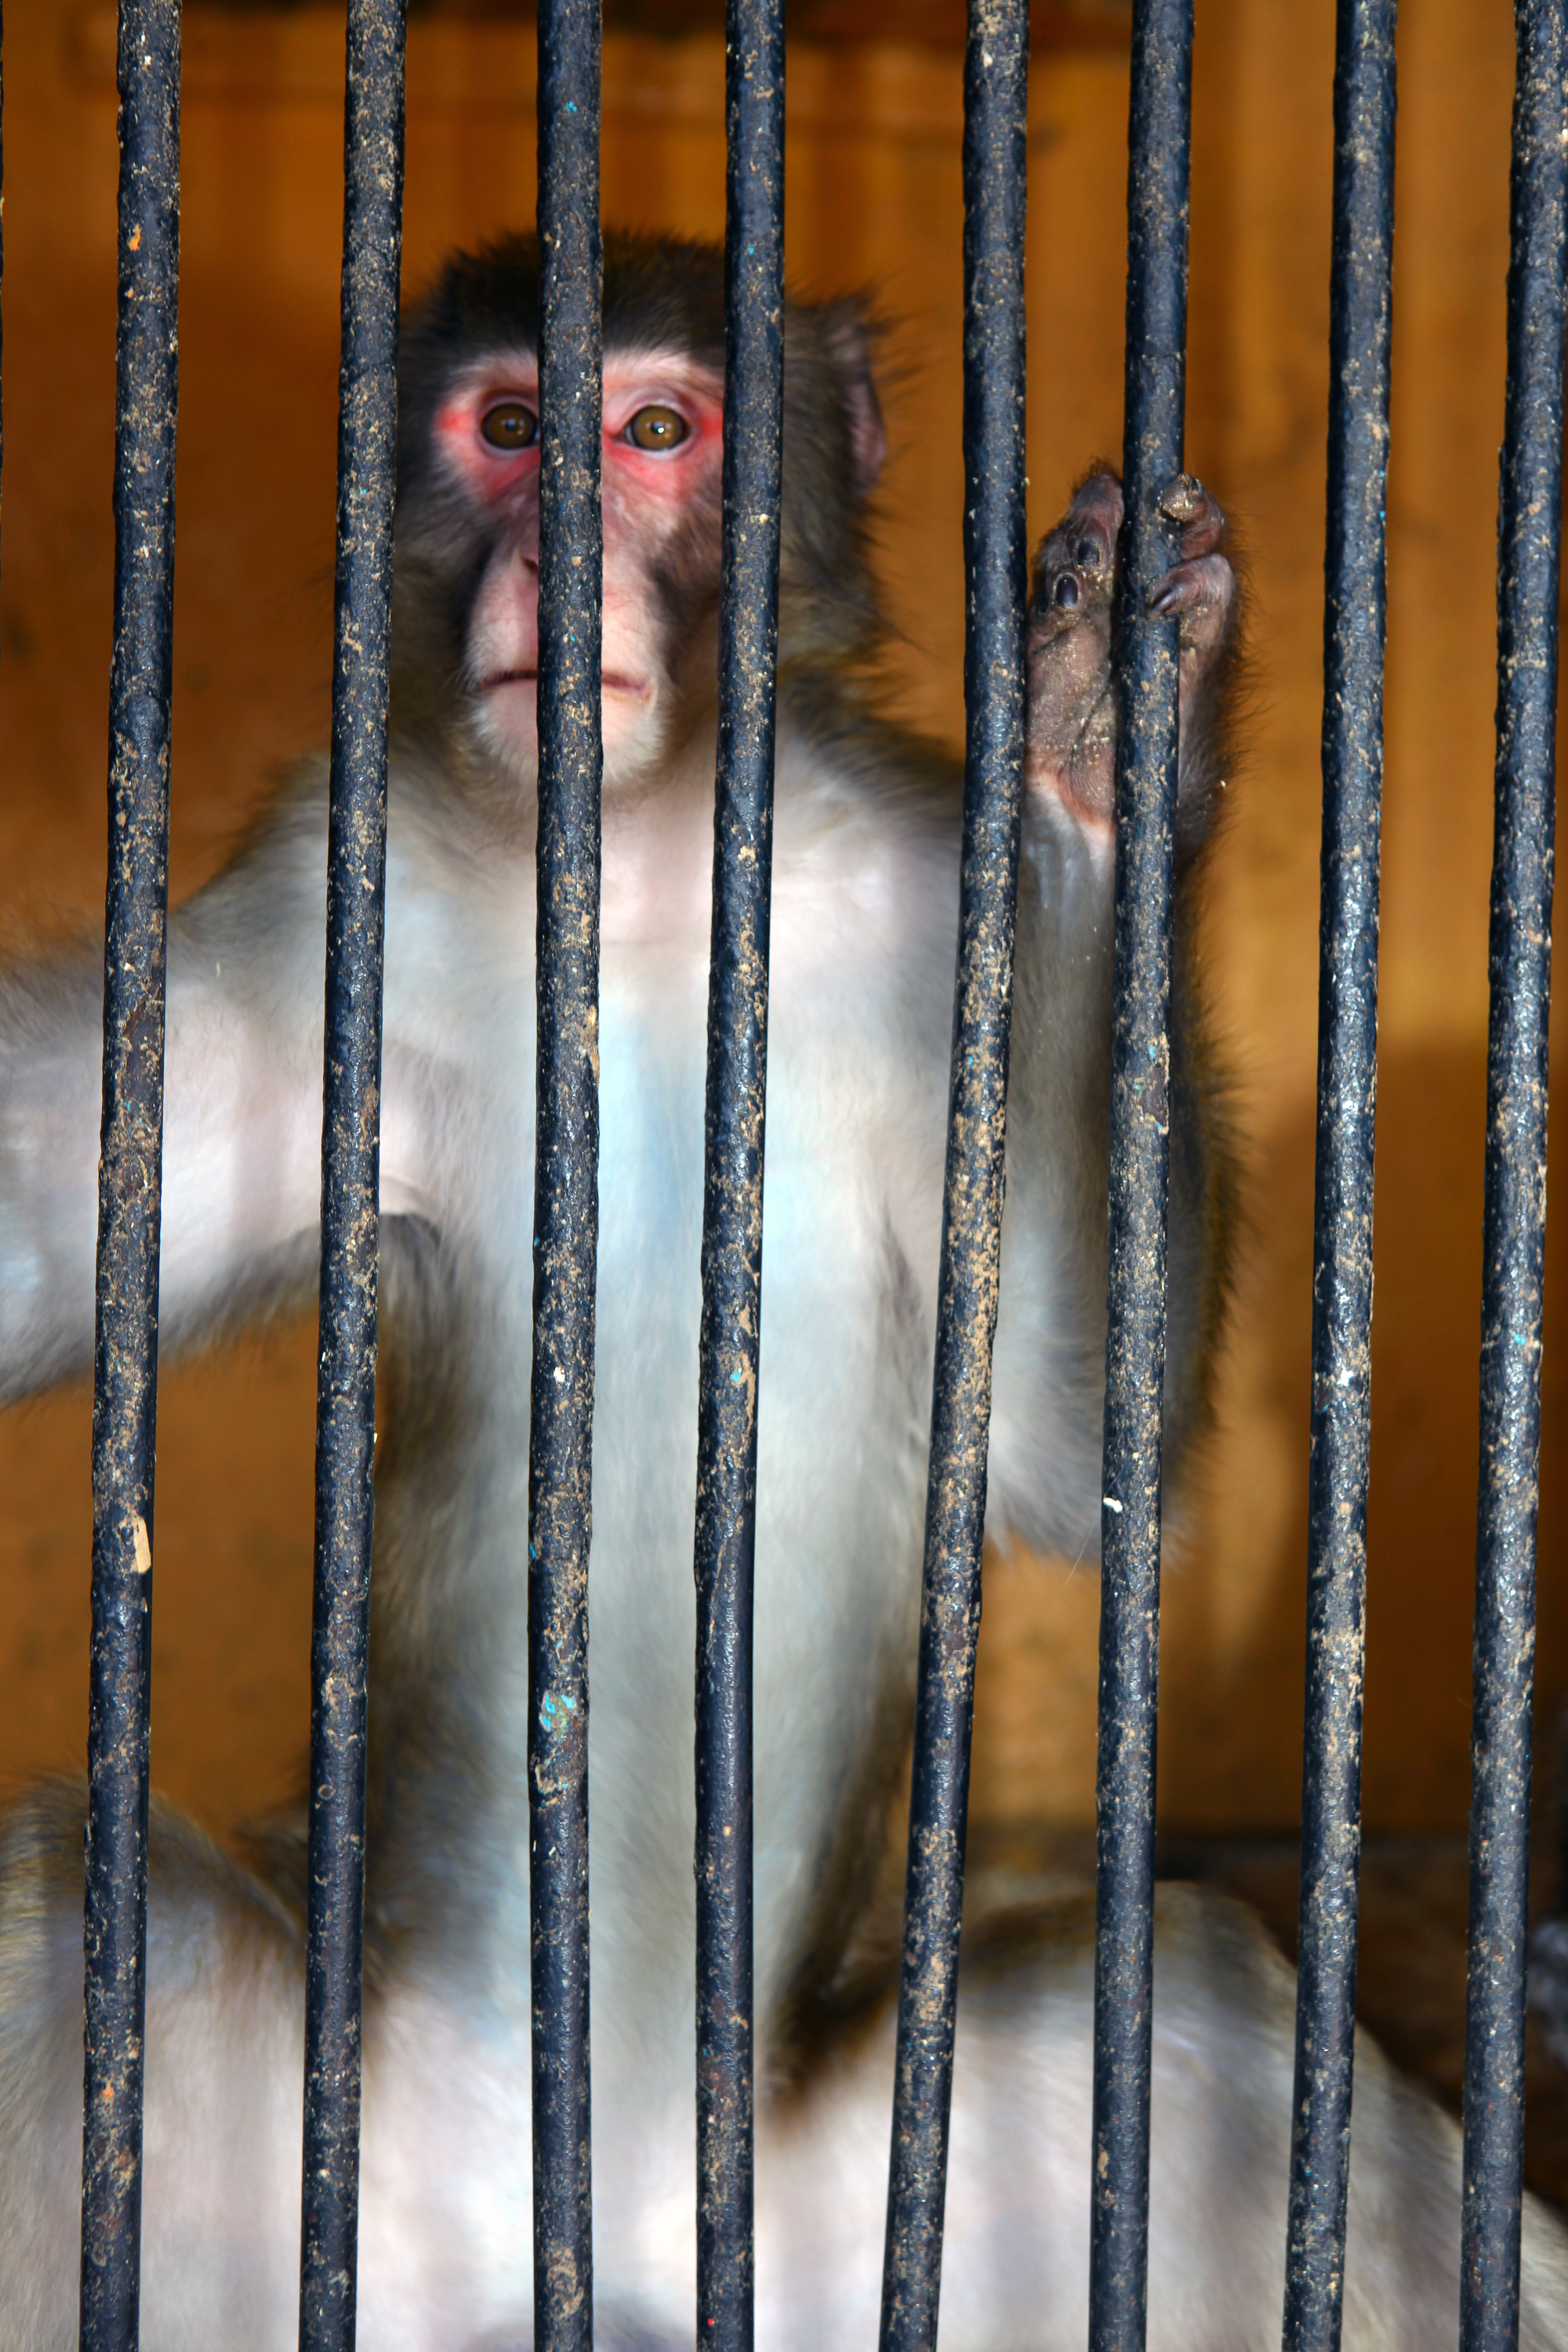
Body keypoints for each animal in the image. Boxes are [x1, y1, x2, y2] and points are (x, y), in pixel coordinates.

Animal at [0, 228, 1563, 2347]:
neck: (652, 872)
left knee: (1203, 2038)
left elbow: (1069, 1448)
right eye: (511, 429)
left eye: (656, 432)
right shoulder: (332, 900)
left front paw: (1104, 733)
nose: (563, 559)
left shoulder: (919, 890)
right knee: (68, 1938)